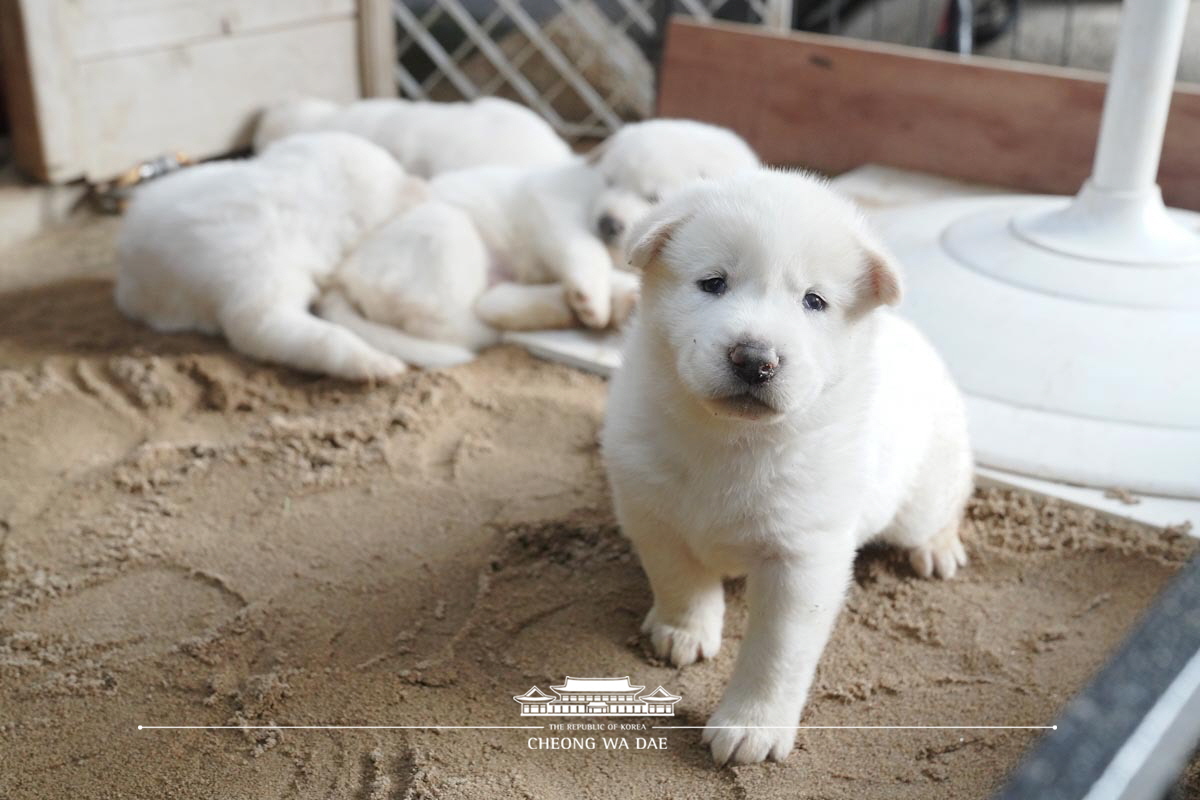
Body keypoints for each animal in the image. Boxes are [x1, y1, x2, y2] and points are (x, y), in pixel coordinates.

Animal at [600, 172, 974, 767]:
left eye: (814, 301)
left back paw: (938, 547)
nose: (755, 359)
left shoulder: (802, 557)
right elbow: (679, 578)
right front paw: (683, 630)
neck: (732, 441)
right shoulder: (650, 509)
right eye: (713, 283)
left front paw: (750, 727)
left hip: (921, 488)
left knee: (949, 499)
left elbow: (776, 651)